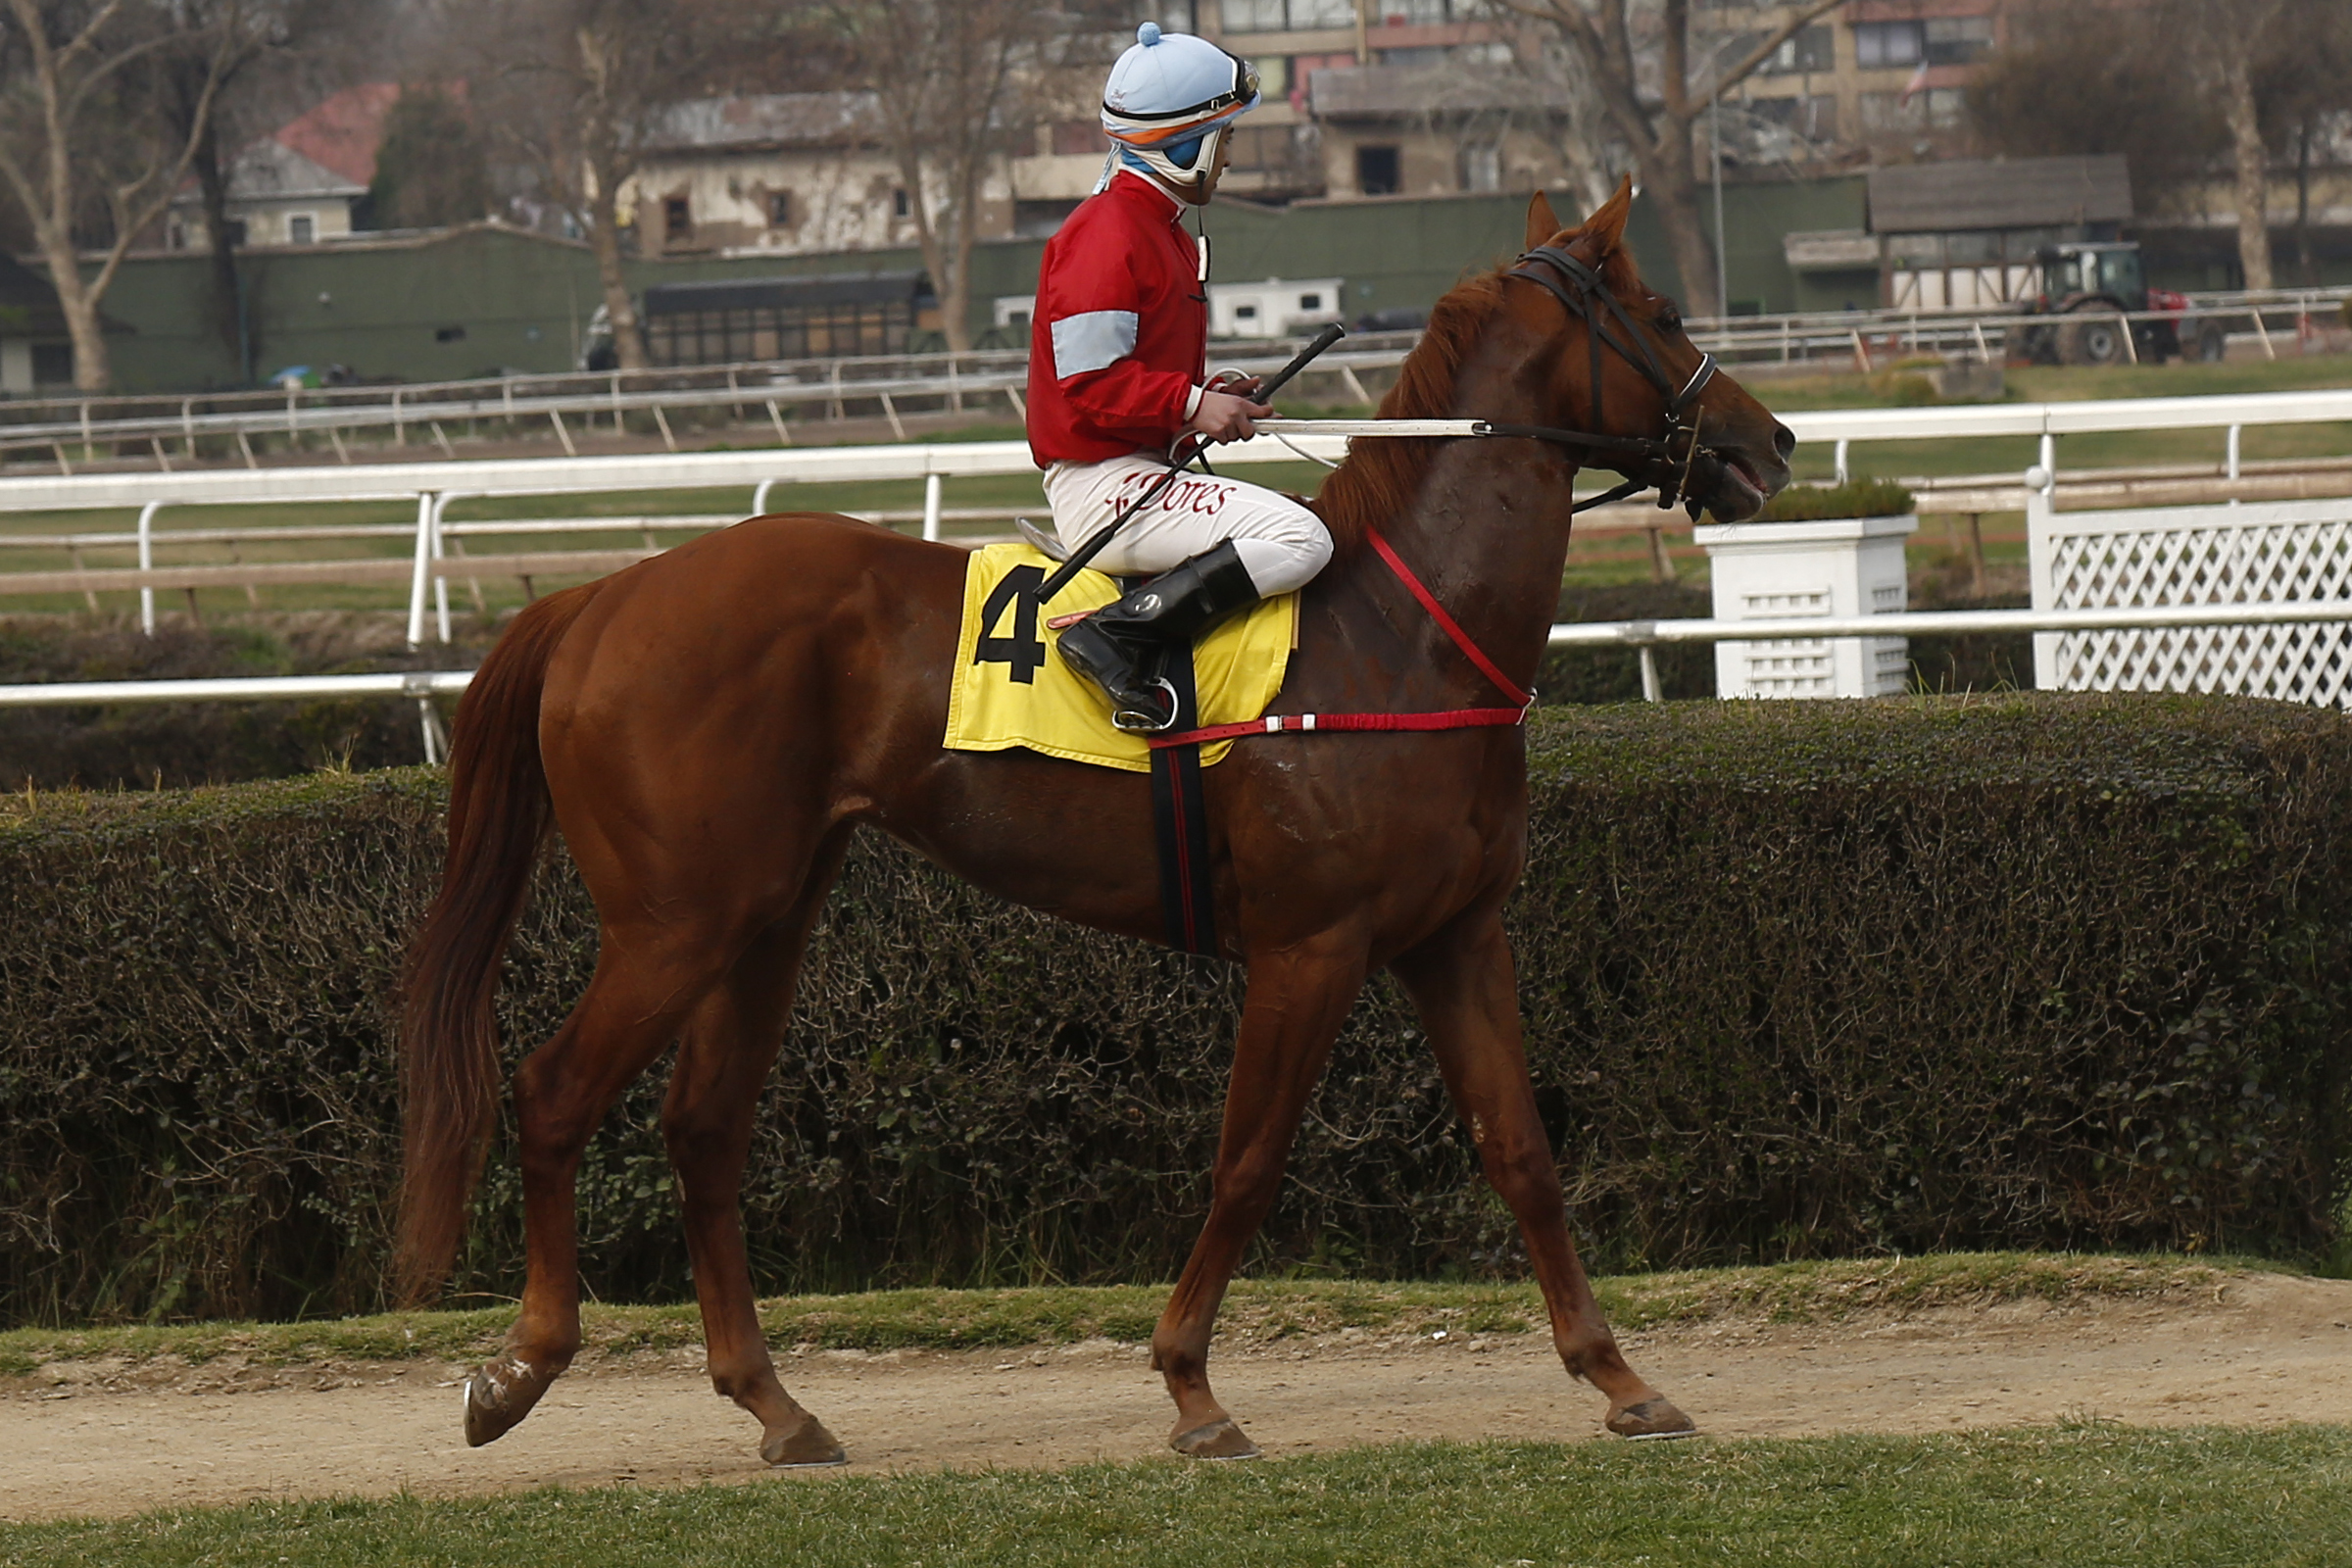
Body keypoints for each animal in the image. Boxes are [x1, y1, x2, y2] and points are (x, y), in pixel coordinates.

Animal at [398, 181, 1794, 1467]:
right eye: (1666, 314)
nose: (1771, 442)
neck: (1400, 636)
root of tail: (600, 596)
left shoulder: (1456, 935)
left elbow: (1523, 1152)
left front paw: (1622, 1378)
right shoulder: (1311, 947)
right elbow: (1248, 1160)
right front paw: (1190, 1386)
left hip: (767, 915)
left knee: (702, 1129)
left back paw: (776, 1407)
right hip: (676, 920)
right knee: (552, 1094)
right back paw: (518, 1368)